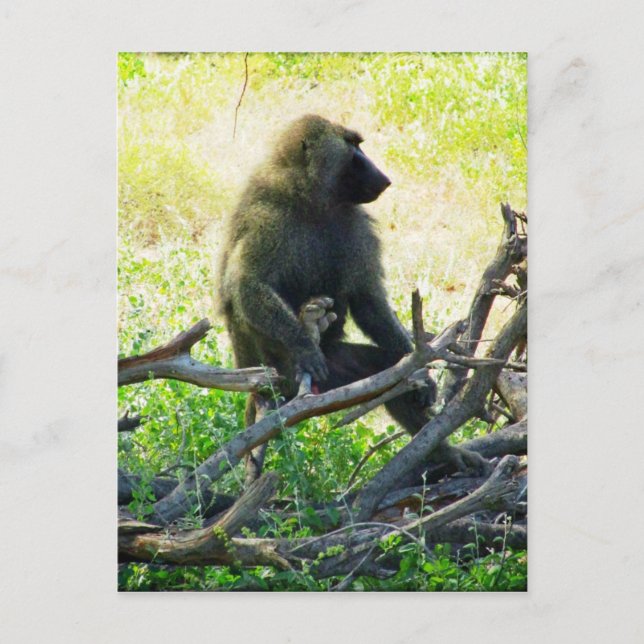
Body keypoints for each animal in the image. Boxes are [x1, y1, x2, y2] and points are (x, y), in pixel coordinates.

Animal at [217, 114, 488, 479]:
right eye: (352, 146)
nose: (384, 179)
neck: (311, 199)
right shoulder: (266, 220)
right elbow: (247, 283)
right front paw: (304, 345)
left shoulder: (356, 225)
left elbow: (368, 301)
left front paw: (421, 374)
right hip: (268, 371)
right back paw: (305, 329)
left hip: (336, 370)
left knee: (387, 371)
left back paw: (442, 452)